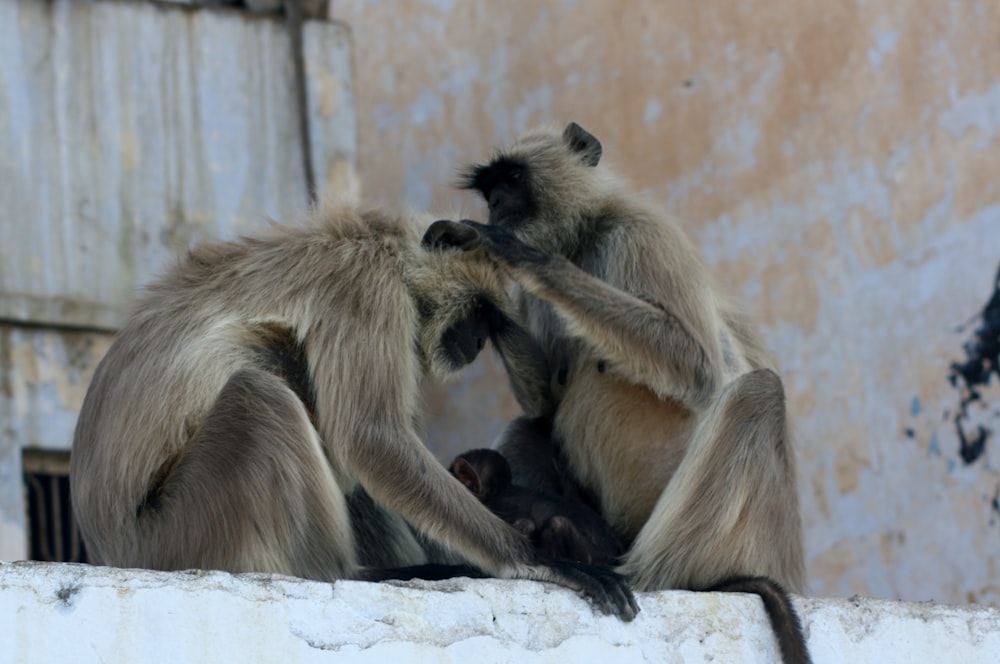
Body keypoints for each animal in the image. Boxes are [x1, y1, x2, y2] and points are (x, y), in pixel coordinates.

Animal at [70, 205, 636, 620]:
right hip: (178, 535)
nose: (478, 342)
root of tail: (110, 548)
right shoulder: (366, 287)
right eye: (478, 312)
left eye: (491, 320)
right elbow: (371, 438)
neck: (379, 244)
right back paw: (349, 574)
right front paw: (536, 559)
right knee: (263, 395)